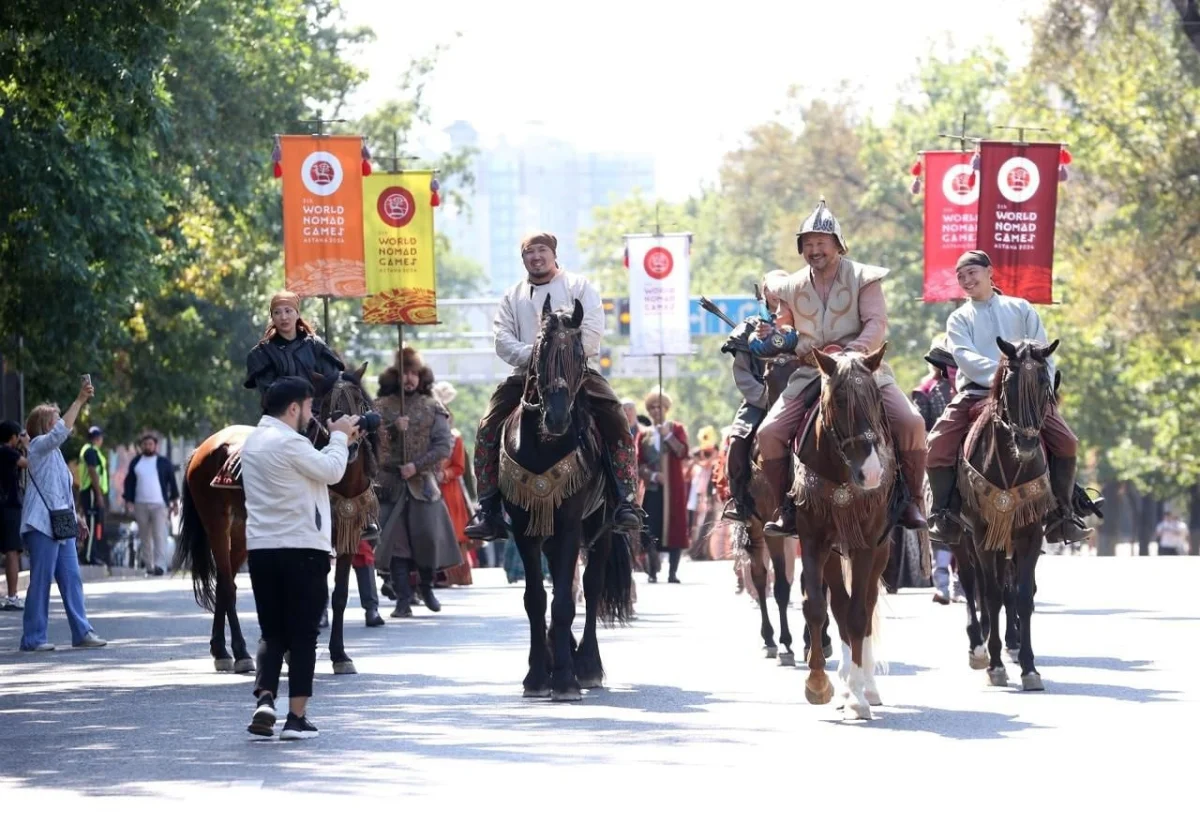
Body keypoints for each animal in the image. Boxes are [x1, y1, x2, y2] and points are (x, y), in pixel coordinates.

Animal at [172, 366, 374, 676]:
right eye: (328, 403)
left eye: (359, 401)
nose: (350, 442)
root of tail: (203, 448)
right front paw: (296, 652)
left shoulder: (347, 537)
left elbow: (339, 595)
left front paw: (340, 655)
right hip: (216, 524)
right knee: (228, 585)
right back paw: (240, 653)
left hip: (242, 533)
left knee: (226, 583)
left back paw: (221, 650)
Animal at [496, 296, 633, 700]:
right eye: (540, 350)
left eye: (578, 352)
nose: (556, 418)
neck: (543, 444)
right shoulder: (524, 529)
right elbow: (536, 599)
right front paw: (537, 676)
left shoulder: (572, 524)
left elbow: (565, 601)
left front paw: (567, 681)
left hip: (601, 526)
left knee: (590, 585)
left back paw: (586, 665)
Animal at [792, 345, 897, 719]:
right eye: (838, 400)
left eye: (876, 397)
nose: (871, 473)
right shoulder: (812, 540)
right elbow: (816, 608)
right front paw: (818, 684)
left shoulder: (867, 544)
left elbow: (857, 615)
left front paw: (858, 697)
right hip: (835, 553)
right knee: (838, 604)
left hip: (880, 549)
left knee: (864, 605)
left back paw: (866, 687)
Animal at [950, 335, 1056, 690]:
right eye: (1010, 383)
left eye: (1044, 381)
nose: (1027, 444)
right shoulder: (983, 534)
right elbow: (993, 594)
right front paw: (995, 664)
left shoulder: (1029, 534)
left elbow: (1022, 596)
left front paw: (1029, 666)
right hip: (961, 538)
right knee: (973, 585)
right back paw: (978, 646)